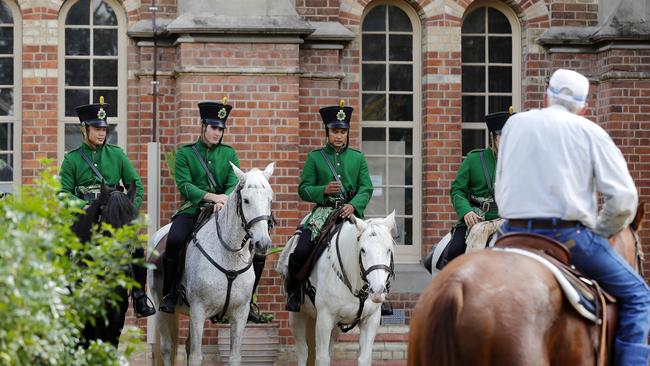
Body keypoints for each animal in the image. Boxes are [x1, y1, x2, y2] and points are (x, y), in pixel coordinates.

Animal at [149, 163, 274, 366]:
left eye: (270, 200)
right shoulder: (198, 311)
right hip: (162, 309)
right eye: (246, 200)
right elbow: (195, 357)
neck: (229, 256)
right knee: (167, 349)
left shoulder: (240, 313)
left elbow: (234, 357)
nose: (262, 243)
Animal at [278, 210, 398, 364]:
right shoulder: (324, 319)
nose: (377, 292)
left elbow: (364, 358)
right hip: (297, 315)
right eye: (363, 250)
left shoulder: (370, 320)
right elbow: (322, 358)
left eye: (389, 250)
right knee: (303, 351)